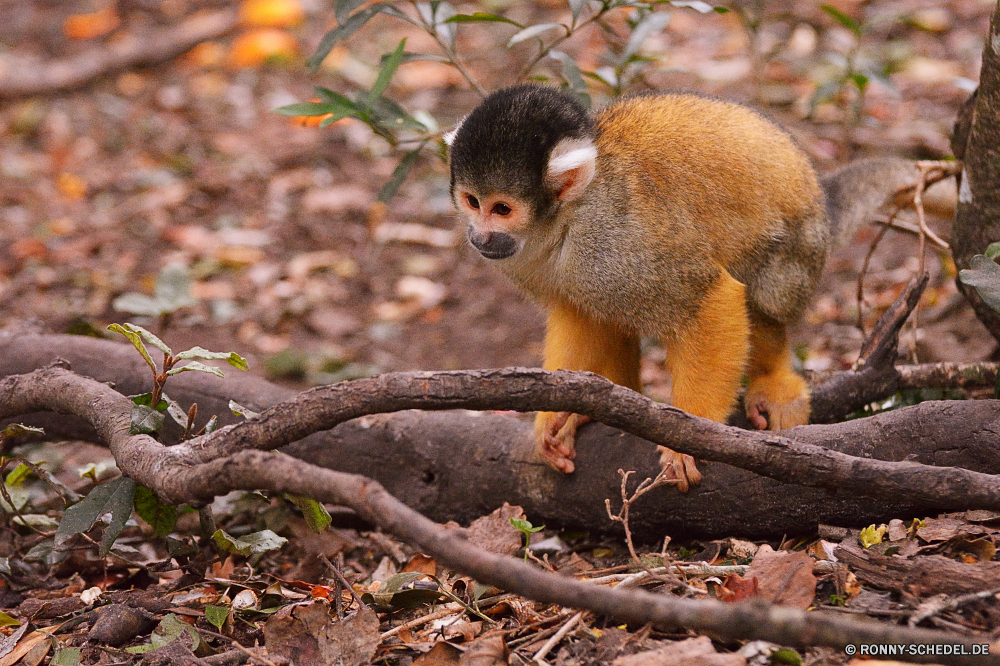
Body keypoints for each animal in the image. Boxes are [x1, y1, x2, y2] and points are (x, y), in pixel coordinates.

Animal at [450, 81, 940, 488]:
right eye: (472, 202)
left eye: (502, 208)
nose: (479, 236)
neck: (565, 218)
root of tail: (820, 197)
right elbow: (578, 315)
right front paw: (560, 415)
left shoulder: (618, 238)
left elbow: (711, 298)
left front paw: (686, 437)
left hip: (800, 248)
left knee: (765, 293)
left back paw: (774, 377)